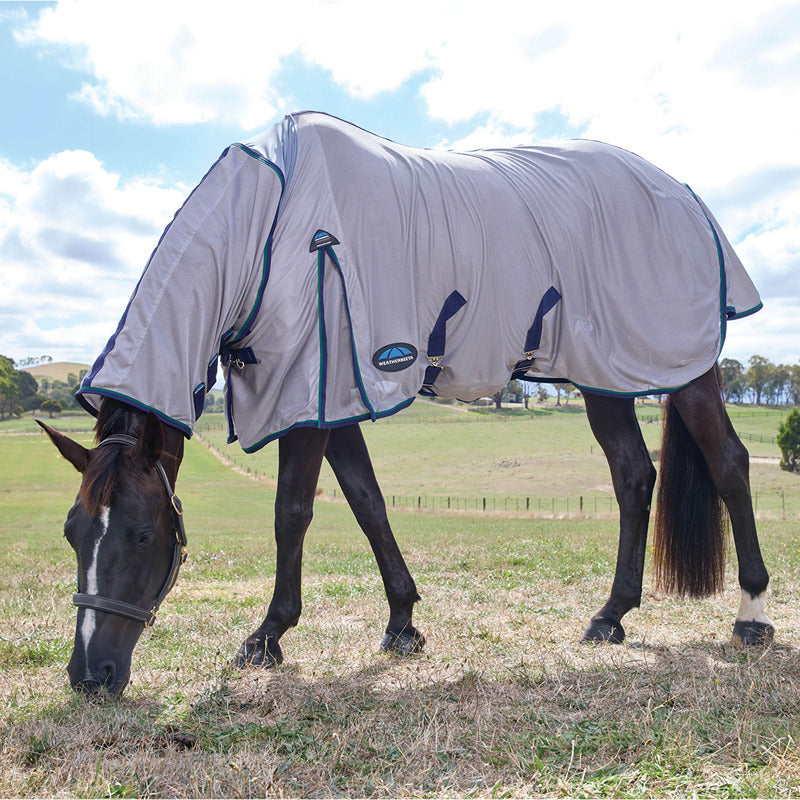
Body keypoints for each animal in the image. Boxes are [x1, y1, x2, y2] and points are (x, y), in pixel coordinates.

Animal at [39, 112, 773, 697]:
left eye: (141, 534)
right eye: (73, 533)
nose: (89, 677)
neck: (269, 228)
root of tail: (685, 196)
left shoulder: (306, 394)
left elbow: (291, 513)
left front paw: (267, 636)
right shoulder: (331, 396)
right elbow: (367, 503)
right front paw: (402, 623)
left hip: (681, 368)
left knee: (729, 464)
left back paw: (753, 616)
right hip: (607, 378)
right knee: (632, 476)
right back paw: (610, 617)